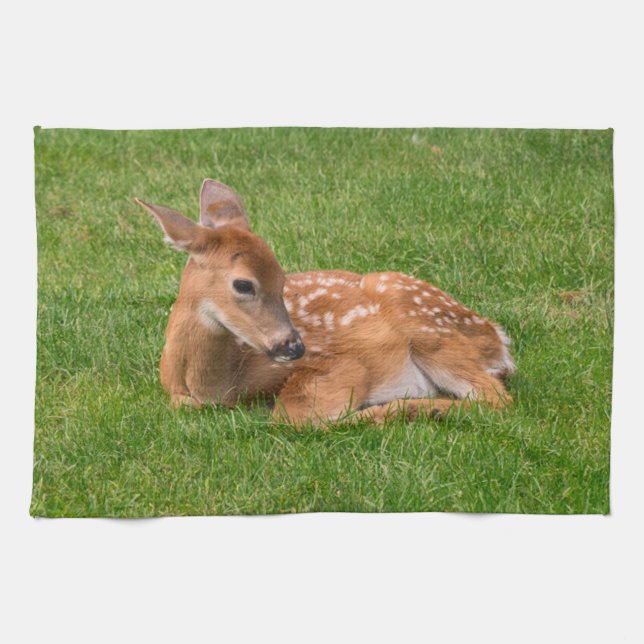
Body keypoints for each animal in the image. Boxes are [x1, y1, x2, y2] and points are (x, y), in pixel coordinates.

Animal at [135, 179, 515, 427]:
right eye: (243, 284)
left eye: (283, 278)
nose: (294, 346)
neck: (217, 385)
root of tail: (498, 338)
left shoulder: (339, 363)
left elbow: (292, 415)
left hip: (428, 328)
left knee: (496, 398)